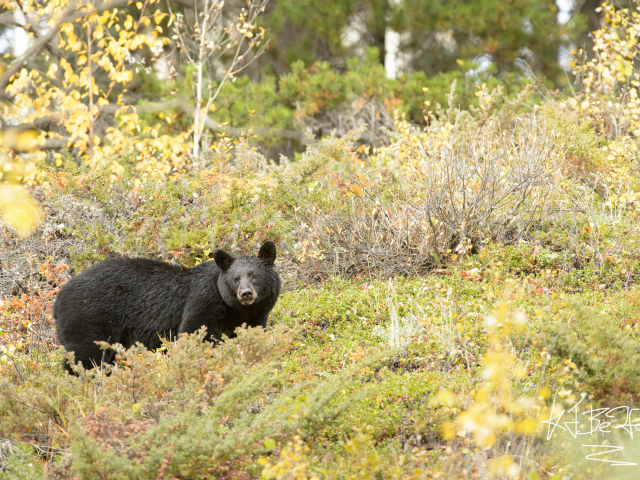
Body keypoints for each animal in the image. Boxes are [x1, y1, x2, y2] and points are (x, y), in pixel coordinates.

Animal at [50, 242, 280, 374]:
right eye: (235, 278)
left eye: (254, 275)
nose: (246, 294)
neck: (237, 310)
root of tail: (58, 299)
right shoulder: (204, 300)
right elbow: (195, 333)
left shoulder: (256, 316)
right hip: (89, 317)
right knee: (85, 356)